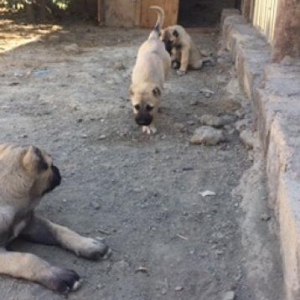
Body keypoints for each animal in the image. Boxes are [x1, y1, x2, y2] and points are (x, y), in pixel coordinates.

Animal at [0, 145, 110, 292]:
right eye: (50, 165)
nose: (57, 169)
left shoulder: (30, 223)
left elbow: (60, 230)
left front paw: (88, 244)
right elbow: (27, 259)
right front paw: (57, 275)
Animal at [129, 4, 171, 134]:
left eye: (149, 107)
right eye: (136, 107)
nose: (142, 122)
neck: (145, 80)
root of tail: (153, 38)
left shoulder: (155, 105)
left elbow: (154, 114)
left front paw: (151, 126)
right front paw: (146, 127)